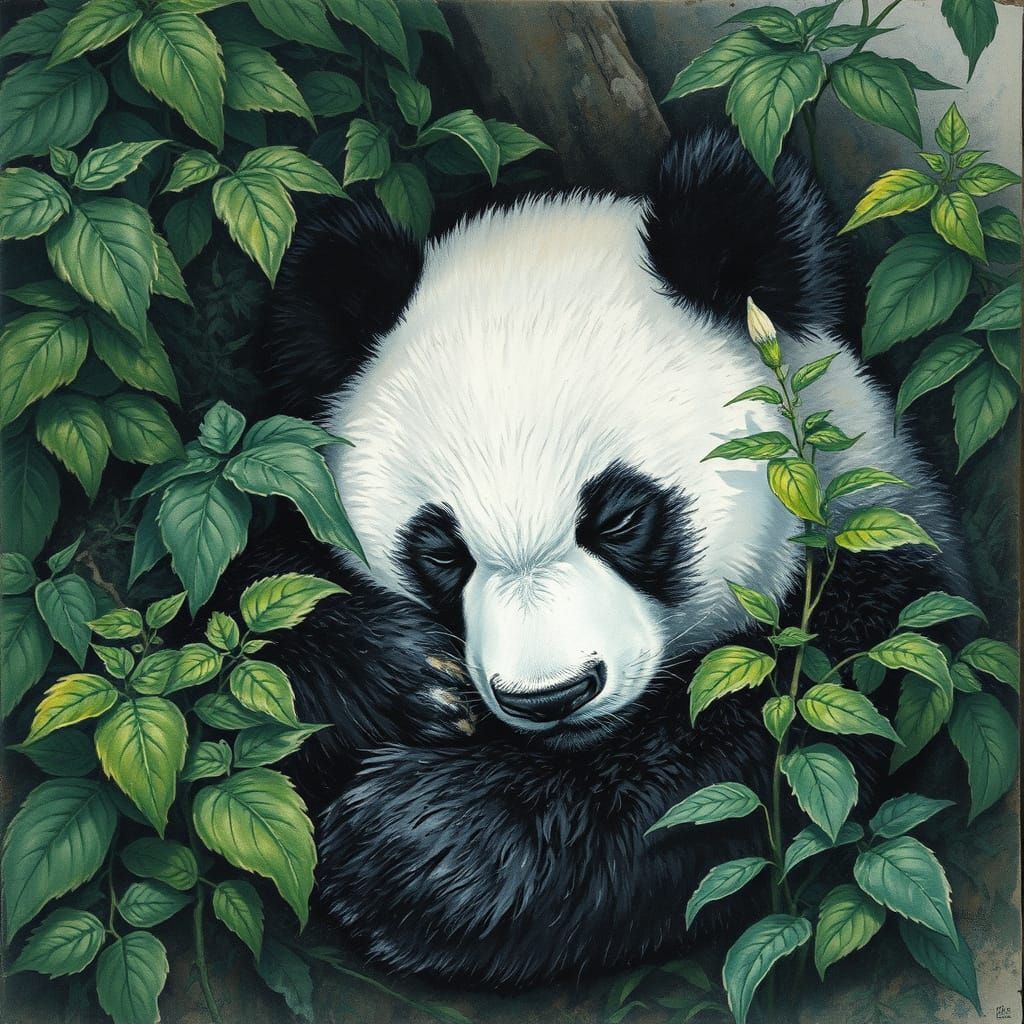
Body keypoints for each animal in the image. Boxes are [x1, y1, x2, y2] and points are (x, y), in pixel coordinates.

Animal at [227, 129, 966, 987]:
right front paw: (410, 679)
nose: (548, 696)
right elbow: (259, 608)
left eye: (617, 516)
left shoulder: (872, 594)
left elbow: (729, 768)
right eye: (440, 550)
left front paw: (419, 848)